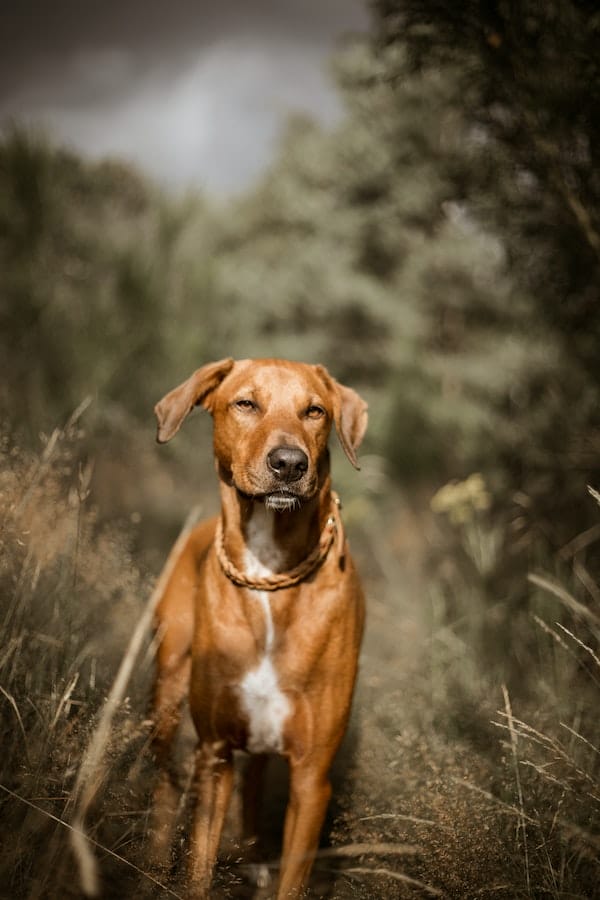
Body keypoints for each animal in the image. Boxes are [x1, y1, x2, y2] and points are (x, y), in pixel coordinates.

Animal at [150, 360, 366, 900]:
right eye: (245, 404)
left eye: (315, 411)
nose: (289, 464)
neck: (269, 572)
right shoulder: (215, 754)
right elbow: (199, 868)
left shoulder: (312, 777)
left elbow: (291, 880)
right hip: (167, 691)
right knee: (162, 780)